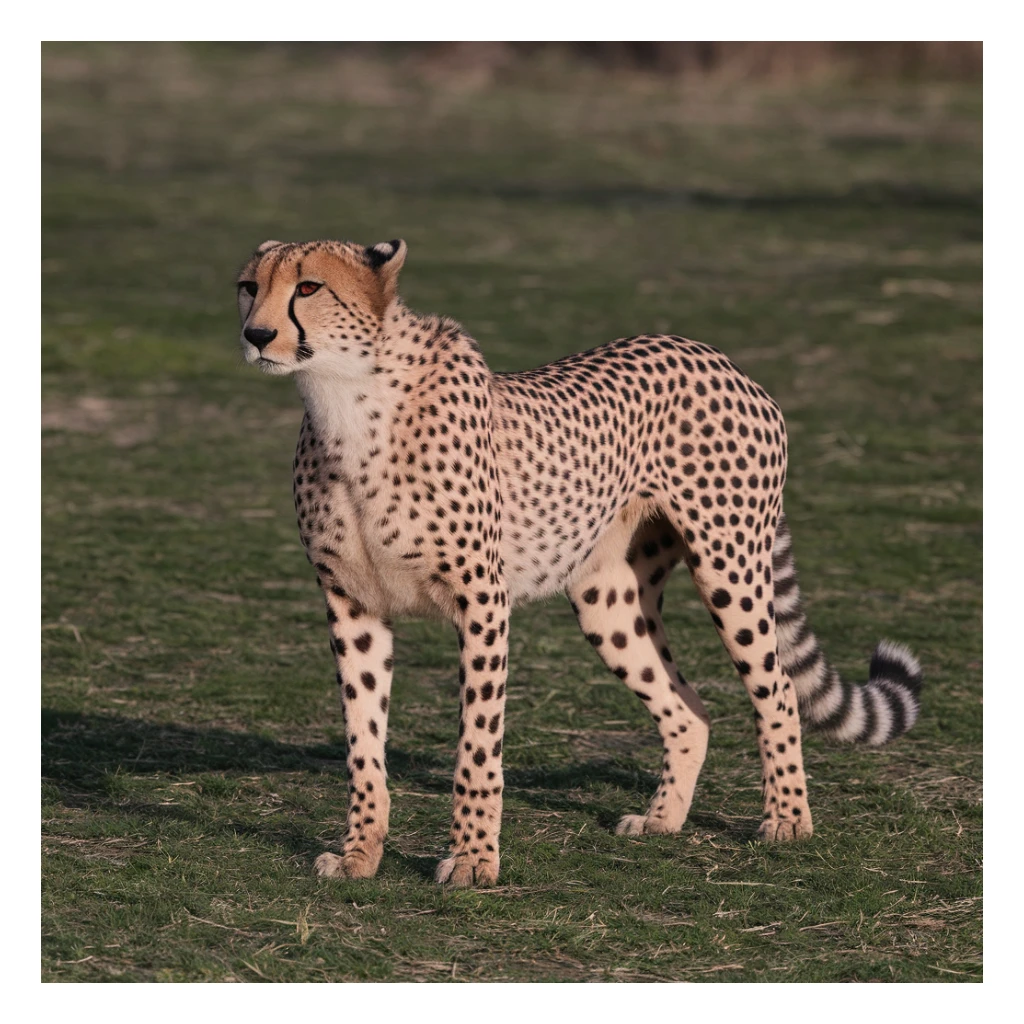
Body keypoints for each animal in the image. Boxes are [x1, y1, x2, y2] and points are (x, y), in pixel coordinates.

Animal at [235, 236, 923, 887]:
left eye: (309, 287)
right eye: (249, 286)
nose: (256, 334)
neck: (346, 401)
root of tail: (715, 355)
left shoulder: (483, 601)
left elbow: (477, 745)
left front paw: (474, 861)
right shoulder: (352, 605)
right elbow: (363, 744)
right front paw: (360, 854)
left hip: (729, 565)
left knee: (776, 690)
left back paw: (787, 819)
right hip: (608, 603)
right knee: (690, 709)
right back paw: (663, 819)